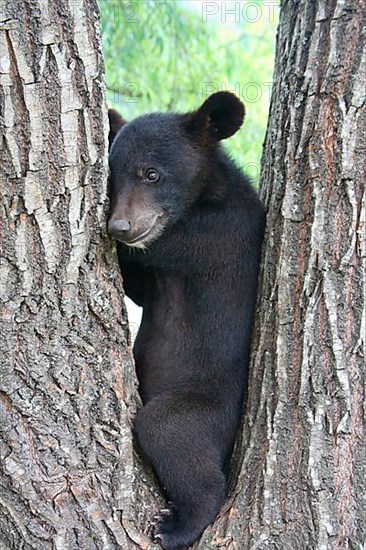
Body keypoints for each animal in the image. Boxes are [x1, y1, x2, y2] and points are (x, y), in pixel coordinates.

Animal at [107, 92, 264, 548]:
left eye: (151, 174)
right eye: (112, 178)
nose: (120, 227)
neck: (205, 197)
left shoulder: (212, 236)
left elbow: (163, 249)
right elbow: (140, 290)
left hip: (207, 407)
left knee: (170, 433)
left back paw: (176, 527)